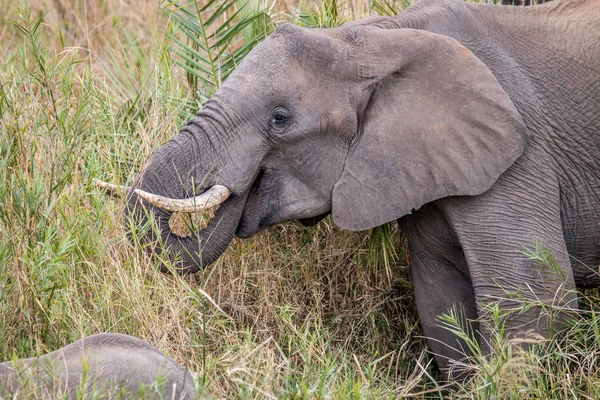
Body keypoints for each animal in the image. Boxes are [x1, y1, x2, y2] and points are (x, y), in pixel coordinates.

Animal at [112, 0, 600, 380]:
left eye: (280, 119)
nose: (242, 187)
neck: (377, 38)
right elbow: (443, 307)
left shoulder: (519, 159)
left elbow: (534, 300)